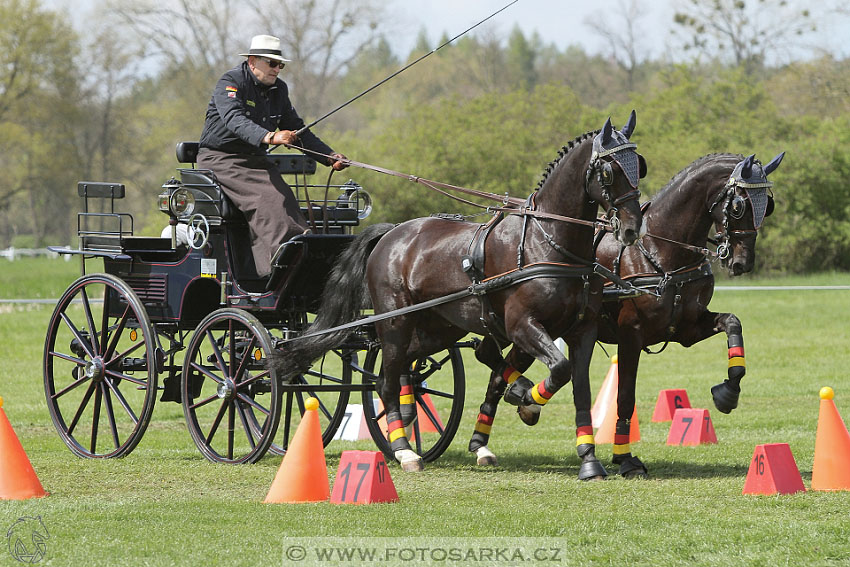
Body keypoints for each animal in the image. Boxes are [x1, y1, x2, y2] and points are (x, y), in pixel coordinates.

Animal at [274, 111, 644, 474]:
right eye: (609, 171)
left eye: (638, 165)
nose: (631, 228)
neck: (547, 241)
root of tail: (391, 233)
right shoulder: (522, 325)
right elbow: (559, 369)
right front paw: (527, 402)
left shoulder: (582, 330)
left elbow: (578, 386)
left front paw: (588, 458)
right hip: (395, 324)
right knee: (386, 381)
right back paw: (404, 450)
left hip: (439, 327)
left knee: (408, 366)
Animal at [464, 152, 780, 480]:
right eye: (739, 205)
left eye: (767, 205)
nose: (742, 262)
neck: (660, 251)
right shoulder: (632, 335)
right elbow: (625, 396)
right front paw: (625, 458)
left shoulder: (686, 329)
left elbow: (732, 322)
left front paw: (728, 392)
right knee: (491, 359)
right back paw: (507, 415)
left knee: (494, 367)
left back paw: (487, 436)